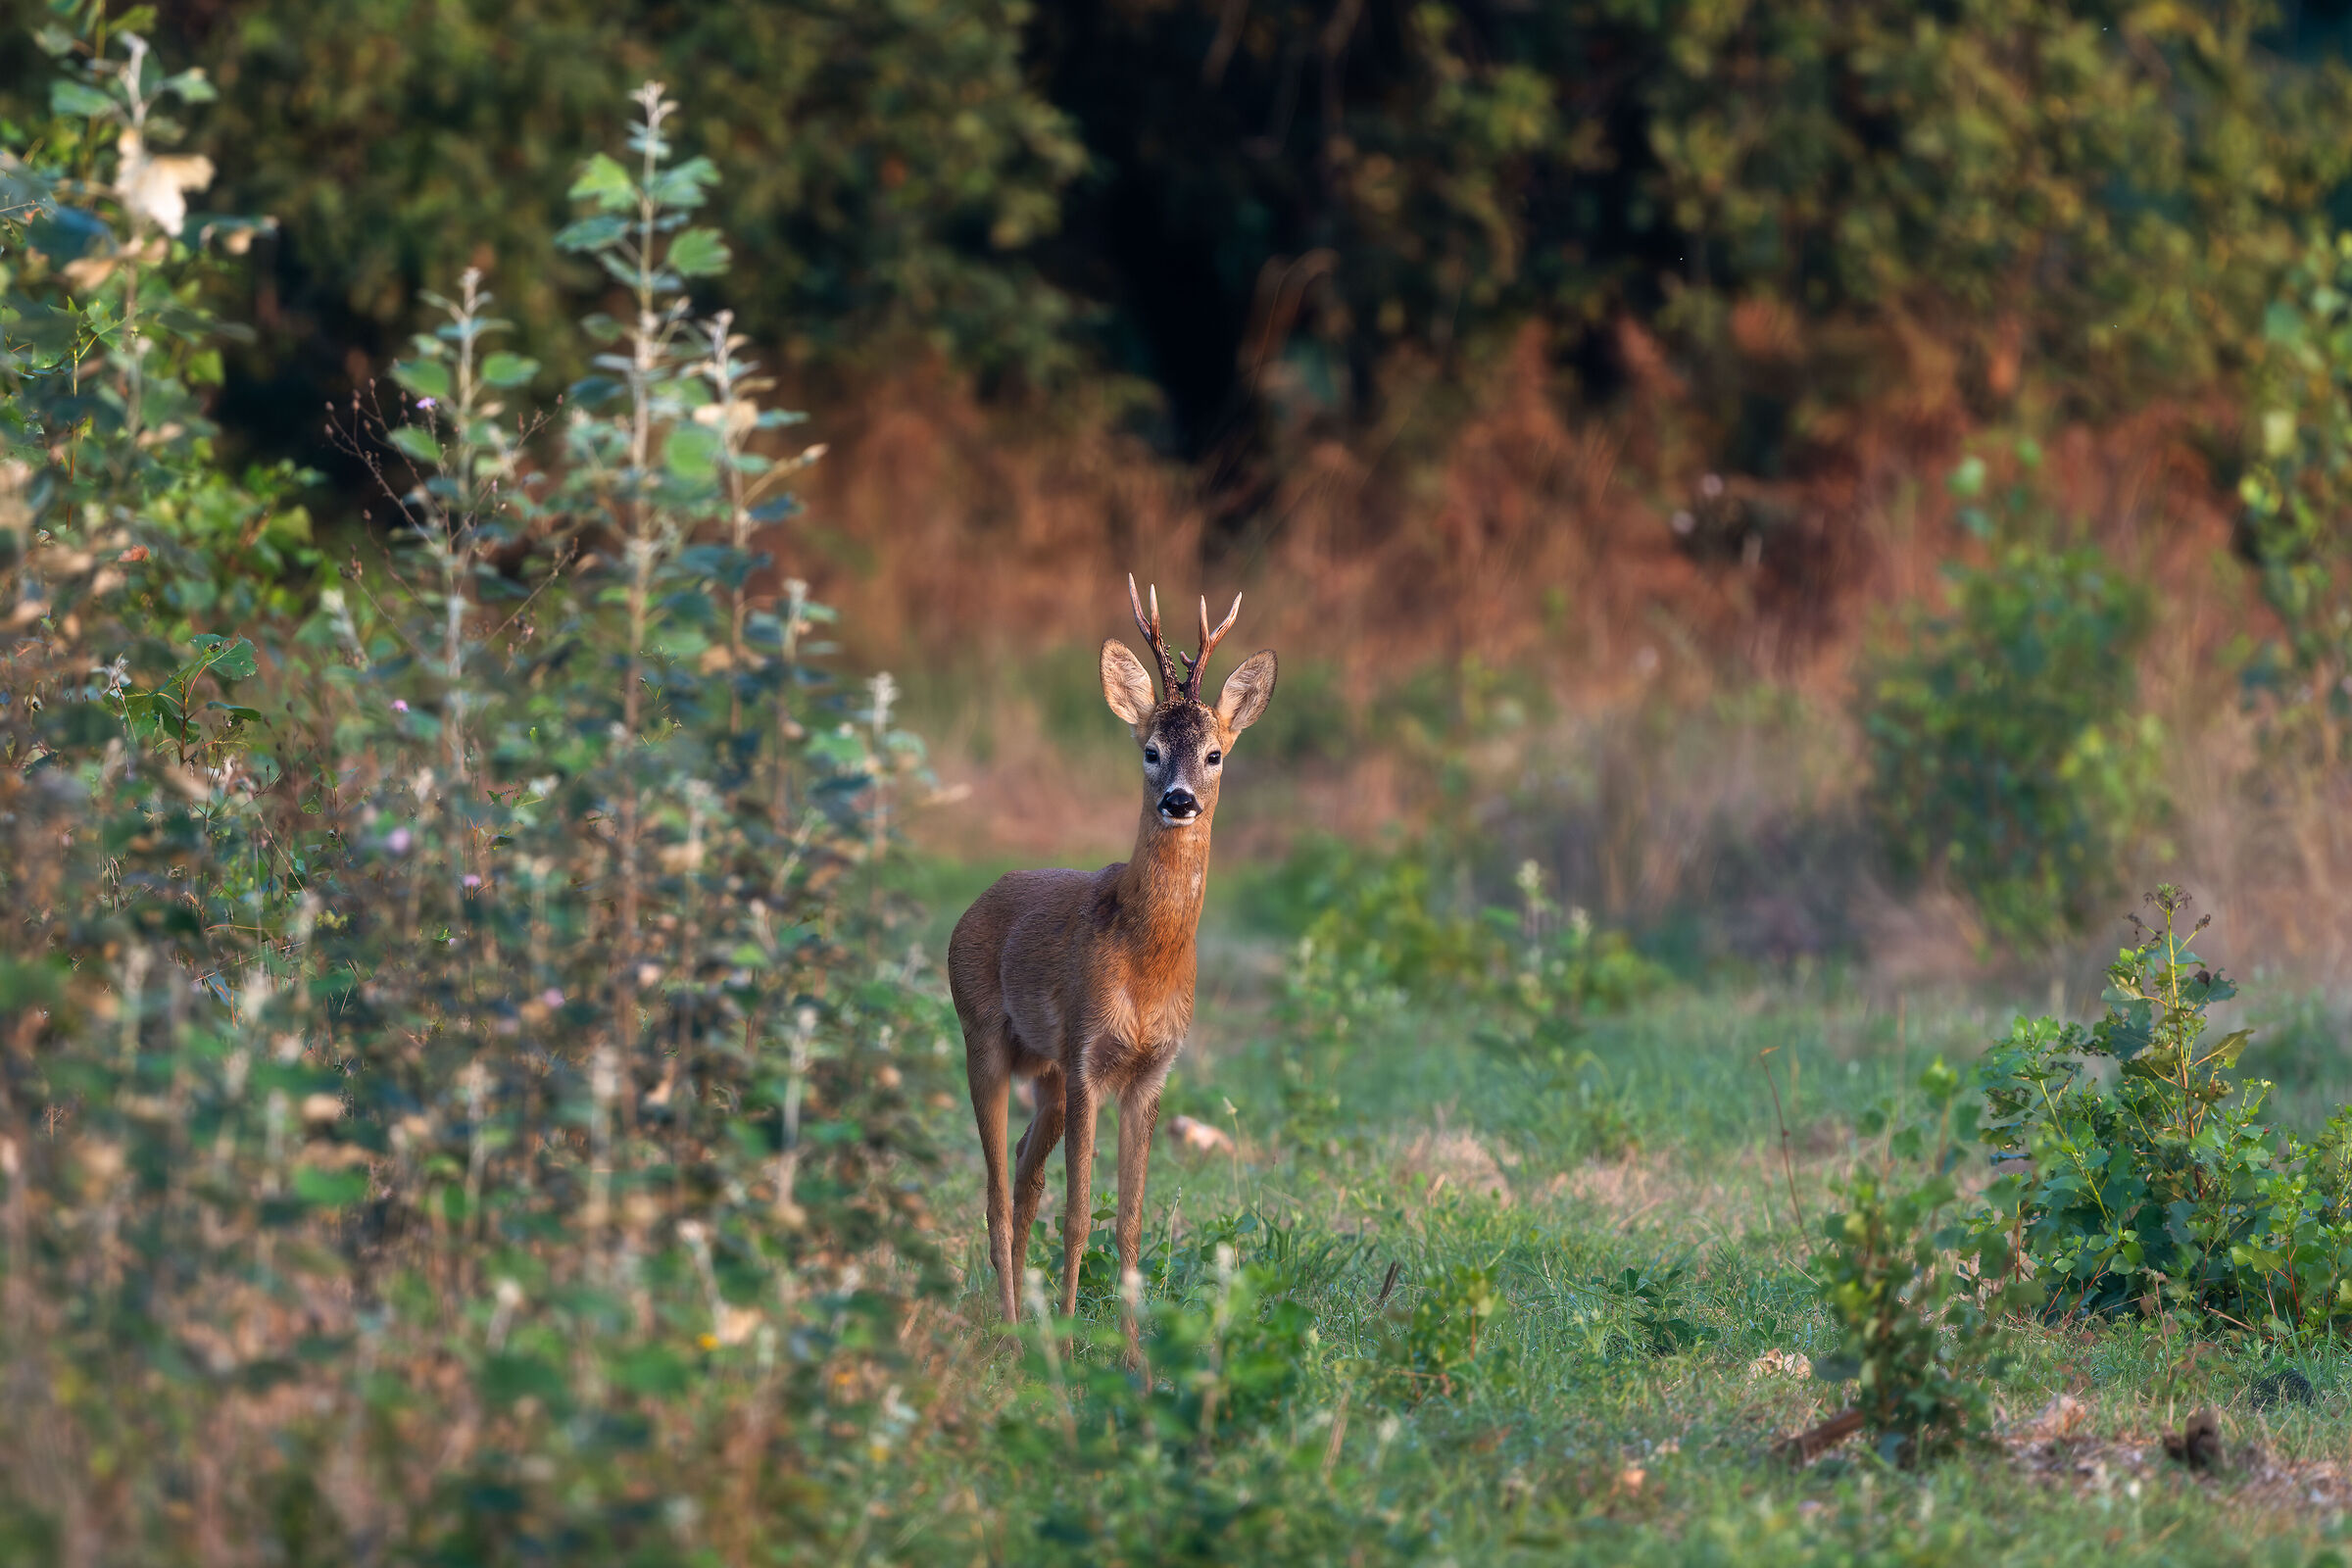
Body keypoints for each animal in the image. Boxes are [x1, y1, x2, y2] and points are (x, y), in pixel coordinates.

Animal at [949, 577, 1277, 1342]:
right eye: (1150, 749)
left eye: (1215, 754)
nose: (1179, 801)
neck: (1147, 964)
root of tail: (975, 903)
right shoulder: (1087, 1055)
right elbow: (1078, 1216)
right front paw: (1072, 1344)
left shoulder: (1151, 1071)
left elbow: (1128, 1222)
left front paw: (1131, 1355)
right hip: (983, 1034)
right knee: (996, 1187)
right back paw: (1011, 1328)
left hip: (1045, 1071)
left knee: (1023, 1173)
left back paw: (1020, 1324)